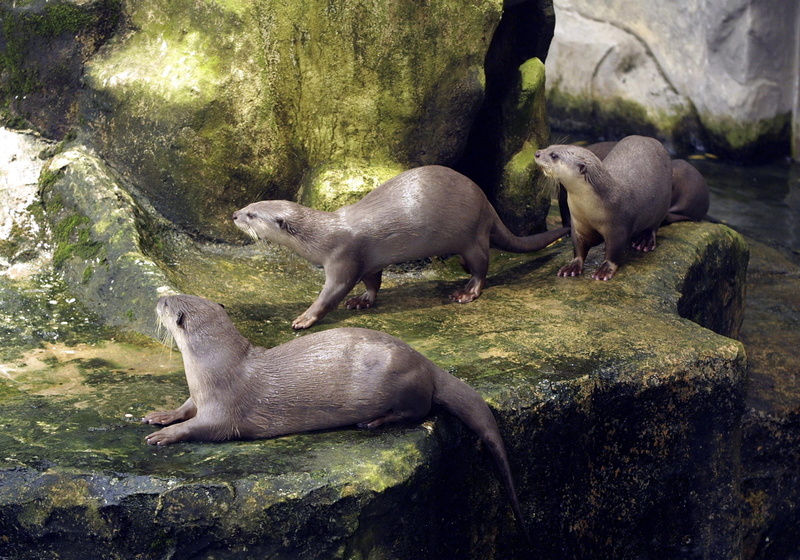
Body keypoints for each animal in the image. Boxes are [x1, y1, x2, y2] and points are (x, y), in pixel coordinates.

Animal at [143, 294, 530, 541]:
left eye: (167, 303)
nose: (157, 298)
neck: (212, 368)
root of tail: (426, 361)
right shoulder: (199, 396)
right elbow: (185, 408)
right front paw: (160, 416)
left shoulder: (225, 408)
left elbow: (203, 426)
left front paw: (167, 435)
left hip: (404, 382)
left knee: (417, 411)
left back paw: (374, 421)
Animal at [233, 165, 569, 329]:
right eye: (249, 205)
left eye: (252, 215)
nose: (235, 214)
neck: (322, 235)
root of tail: (486, 201)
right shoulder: (369, 262)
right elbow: (373, 282)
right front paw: (362, 301)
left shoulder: (343, 258)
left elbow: (332, 293)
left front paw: (305, 317)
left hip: (472, 234)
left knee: (482, 267)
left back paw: (466, 293)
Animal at [536, 136, 672, 280]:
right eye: (549, 146)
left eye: (554, 155)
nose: (537, 153)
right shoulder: (578, 223)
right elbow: (578, 247)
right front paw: (572, 266)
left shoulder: (618, 227)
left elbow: (614, 251)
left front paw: (604, 270)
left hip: (663, 204)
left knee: (654, 226)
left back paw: (645, 241)